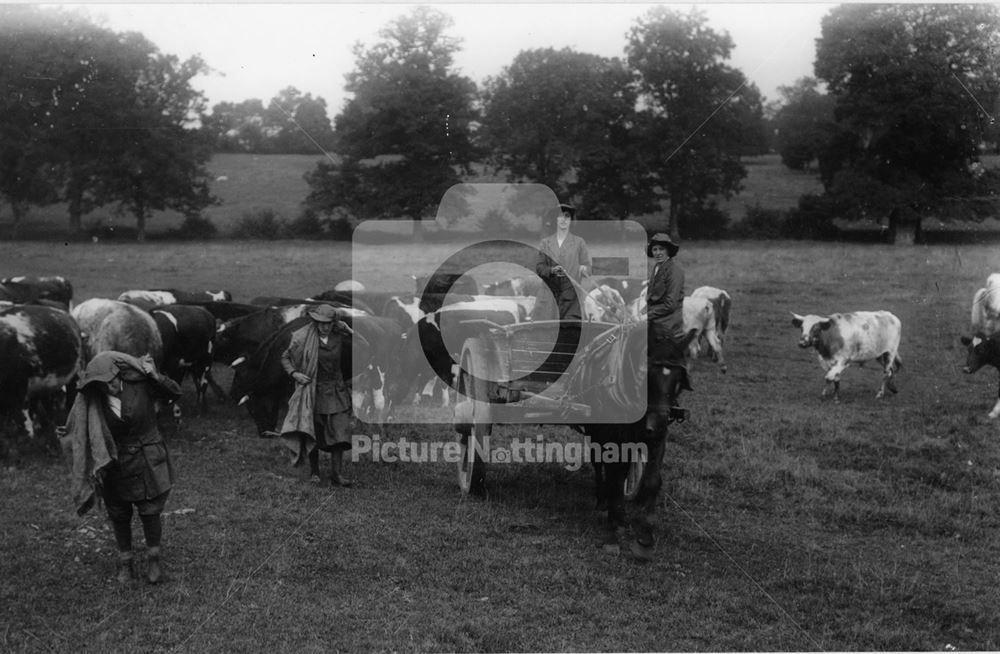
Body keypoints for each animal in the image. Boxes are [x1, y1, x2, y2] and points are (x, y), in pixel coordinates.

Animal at [576, 322, 700, 560]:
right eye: (646, 373)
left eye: (679, 380)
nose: (657, 423)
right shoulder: (613, 436)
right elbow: (615, 477)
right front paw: (613, 532)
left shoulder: (657, 439)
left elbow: (652, 481)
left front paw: (645, 537)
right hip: (597, 429)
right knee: (599, 462)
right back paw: (602, 501)